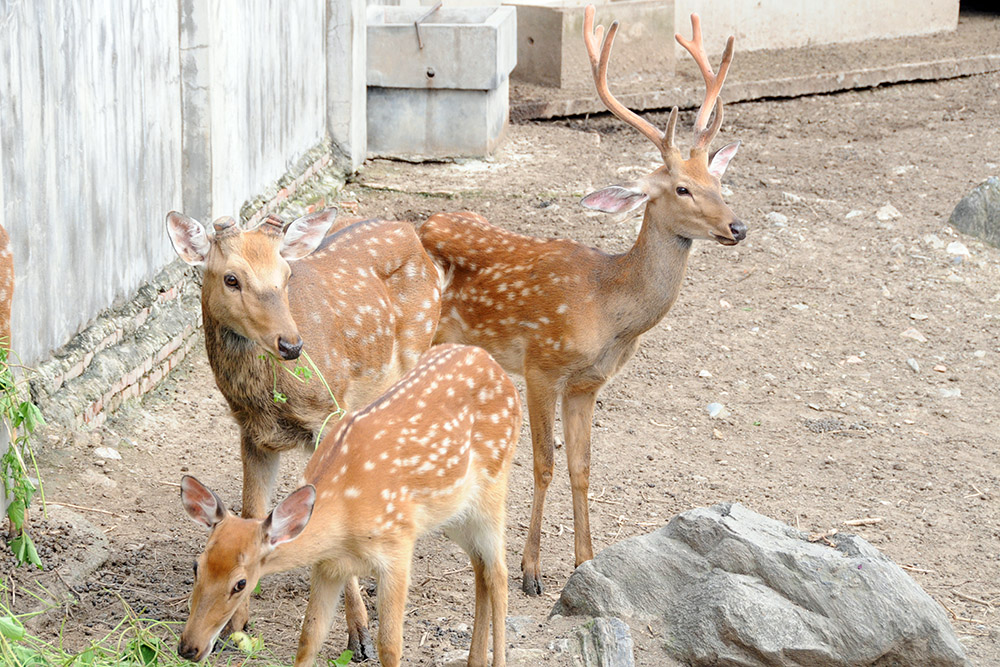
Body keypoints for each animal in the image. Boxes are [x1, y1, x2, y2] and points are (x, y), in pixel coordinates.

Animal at [166, 209, 441, 659]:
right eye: (231, 278)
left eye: (285, 275)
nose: (291, 344)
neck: (269, 398)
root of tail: (411, 232)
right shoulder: (252, 433)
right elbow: (253, 512)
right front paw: (236, 628)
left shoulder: (329, 416)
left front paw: (360, 636)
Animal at [177, 343, 520, 667]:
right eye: (197, 566)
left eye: (240, 583)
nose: (188, 648)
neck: (344, 518)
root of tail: (495, 366)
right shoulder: (329, 566)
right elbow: (309, 637)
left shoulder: (397, 546)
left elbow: (390, 646)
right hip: (455, 515)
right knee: (481, 568)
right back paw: (475, 660)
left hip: (493, 488)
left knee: (499, 574)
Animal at [417, 6, 745, 596]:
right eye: (682, 188)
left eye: (717, 179)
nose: (738, 226)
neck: (609, 308)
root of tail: (420, 222)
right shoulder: (541, 364)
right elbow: (544, 464)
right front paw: (529, 572)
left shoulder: (588, 384)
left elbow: (582, 468)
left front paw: (585, 562)